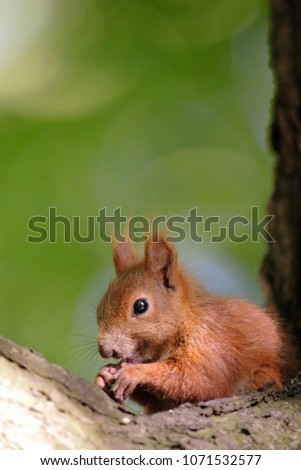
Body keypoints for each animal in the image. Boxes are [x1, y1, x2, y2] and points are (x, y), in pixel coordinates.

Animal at [95, 237, 298, 414]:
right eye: (99, 309)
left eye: (140, 306)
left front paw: (134, 372)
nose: (106, 350)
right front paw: (106, 373)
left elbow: (199, 380)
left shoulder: (211, 341)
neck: (188, 319)